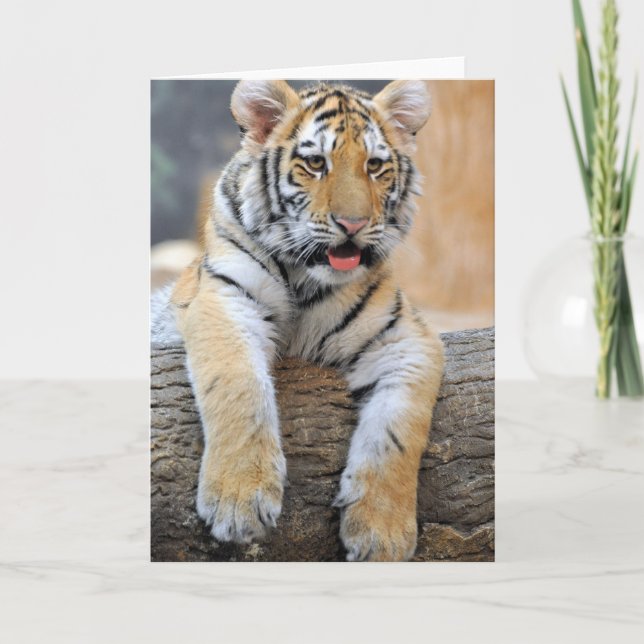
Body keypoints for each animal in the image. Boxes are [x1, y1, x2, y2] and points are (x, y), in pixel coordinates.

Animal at [153, 79, 444, 561]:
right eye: (315, 163)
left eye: (375, 166)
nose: (352, 224)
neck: (306, 278)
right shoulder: (225, 297)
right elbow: (238, 385)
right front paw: (239, 501)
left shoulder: (405, 336)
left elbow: (399, 428)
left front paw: (382, 534)